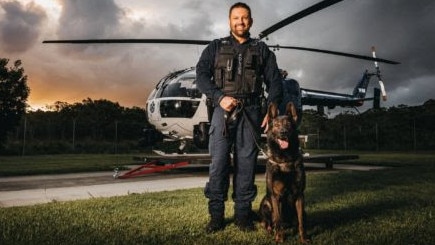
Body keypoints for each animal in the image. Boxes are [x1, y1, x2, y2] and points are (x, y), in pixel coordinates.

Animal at [258, 101, 310, 243]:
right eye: (276, 125)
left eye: (288, 124)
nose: (283, 132)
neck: (285, 160)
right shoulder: (276, 197)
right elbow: (278, 219)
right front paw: (280, 238)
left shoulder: (299, 196)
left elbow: (301, 222)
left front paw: (303, 239)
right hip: (266, 203)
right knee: (267, 223)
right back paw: (271, 231)